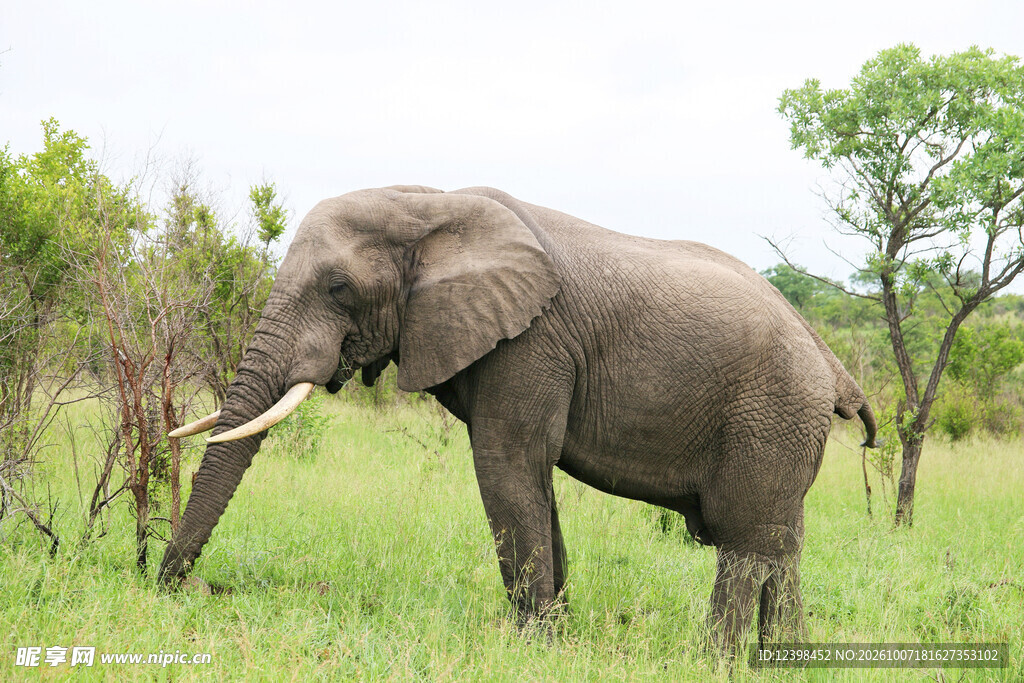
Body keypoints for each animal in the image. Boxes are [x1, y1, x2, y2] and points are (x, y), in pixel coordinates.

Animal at [160, 185, 876, 653]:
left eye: (338, 287)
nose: (174, 587)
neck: (430, 204)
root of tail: (828, 358)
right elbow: (532, 480)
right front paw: (556, 636)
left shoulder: (532, 341)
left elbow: (508, 465)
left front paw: (532, 644)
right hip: (785, 426)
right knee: (782, 544)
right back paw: (785, 658)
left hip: (769, 413)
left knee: (745, 544)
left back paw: (714, 662)